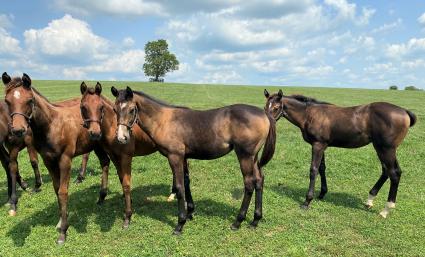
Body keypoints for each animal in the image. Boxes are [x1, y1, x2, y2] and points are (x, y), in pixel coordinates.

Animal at [2, 72, 111, 244]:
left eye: (30, 100)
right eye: (7, 101)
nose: (18, 130)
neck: (52, 126)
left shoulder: (65, 159)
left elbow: (63, 191)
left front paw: (63, 232)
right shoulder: (48, 161)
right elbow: (56, 188)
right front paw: (60, 221)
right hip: (96, 145)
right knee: (105, 162)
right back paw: (101, 196)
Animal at [79, 81, 159, 227]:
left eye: (101, 107)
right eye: (83, 107)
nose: (94, 133)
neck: (112, 129)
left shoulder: (126, 157)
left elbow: (127, 183)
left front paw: (127, 216)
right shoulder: (114, 157)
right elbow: (122, 179)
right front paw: (128, 201)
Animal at [109, 86, 274, 234]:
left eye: (132, 109)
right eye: (115, 110)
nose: (122, 138)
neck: (163, 120)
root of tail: (264, 113)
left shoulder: (175, 156)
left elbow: (179, 187)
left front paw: (180, 224)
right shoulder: (184, 157)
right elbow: (187, 182)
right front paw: (190, 213)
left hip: (245, 155)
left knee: (249, 184)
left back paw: (238, 221)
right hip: (254, 157)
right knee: (259, 180)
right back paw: (255, 220)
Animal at [264, 89, 416, 217]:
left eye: (276, 108)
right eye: (265, 107)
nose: (268, 124)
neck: (309, 115)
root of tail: (404, 111)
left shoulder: (318, 145)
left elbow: (313, 170)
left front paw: (307, 201)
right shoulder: (322, 145)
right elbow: (322, 168)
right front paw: (322, 194)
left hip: (386, 149)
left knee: (394, 173)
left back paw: (386, 210)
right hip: (383, 148)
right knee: (388, 171)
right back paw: (369, 200)